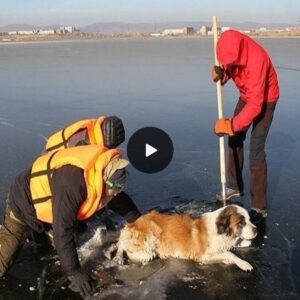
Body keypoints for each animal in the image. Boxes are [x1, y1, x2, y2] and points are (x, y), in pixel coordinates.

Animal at [111, 205, 256, 270]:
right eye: (241, 223)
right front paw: (243, 263)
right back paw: (119, 257)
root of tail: (133, 222)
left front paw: (243, 243)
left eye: (249, 220)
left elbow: (231, 248)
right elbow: (229, 253)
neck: (220, 229)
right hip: (147, 248)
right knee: (123, 243)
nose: (256, 229)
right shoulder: (203, 255)